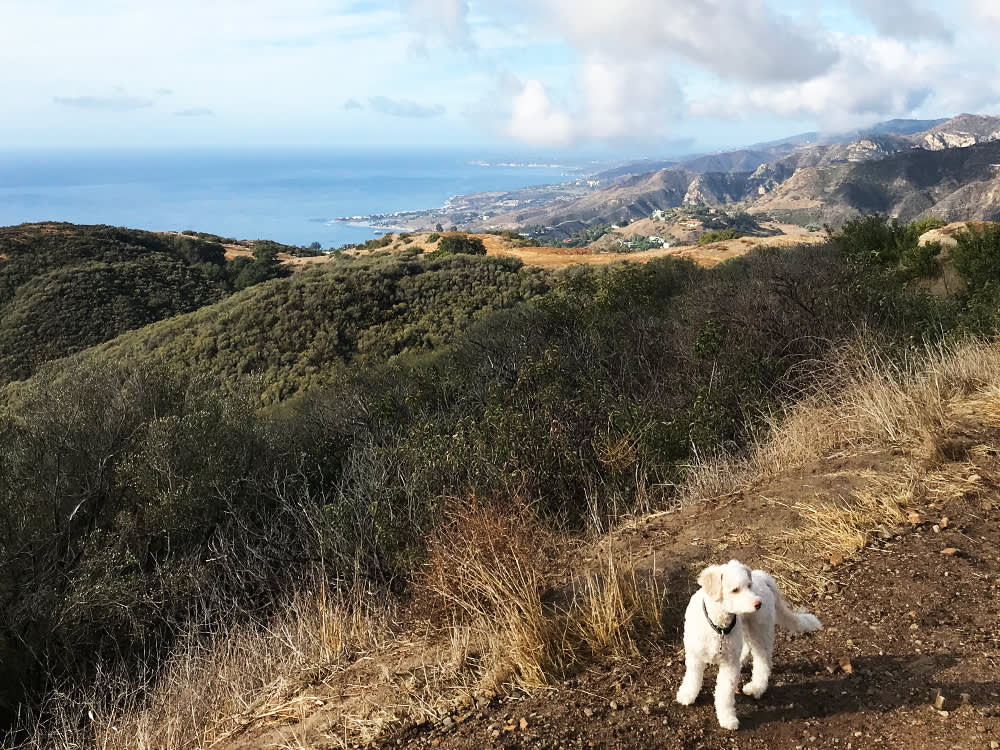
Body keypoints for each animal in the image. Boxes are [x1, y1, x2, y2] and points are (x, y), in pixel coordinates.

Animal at [672, 560, 820, 732]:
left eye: (749, 586)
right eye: (735, 589)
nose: (758, 604)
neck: (718, 626)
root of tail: (762, 576)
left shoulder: (729, 666)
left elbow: (725, 694)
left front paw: (727, 718)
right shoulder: (695, 656)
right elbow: (692, 678)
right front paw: (687, 695)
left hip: (760, 632)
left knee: (763, 662)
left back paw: (756, 687)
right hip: (747, 630)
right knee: (747, 648)